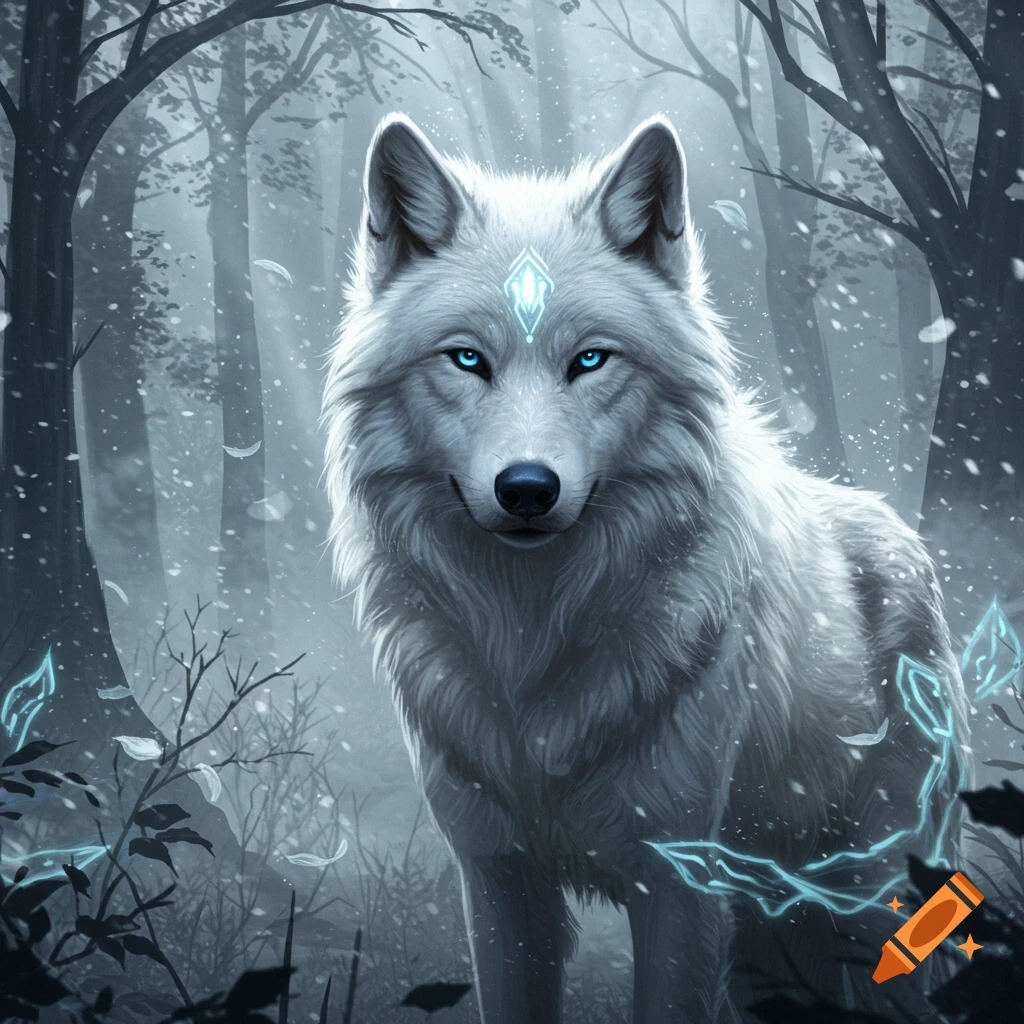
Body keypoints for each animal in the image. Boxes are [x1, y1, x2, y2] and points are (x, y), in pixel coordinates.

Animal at [322, 113, 972, 1023]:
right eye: (466, 360)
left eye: (591, 361)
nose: (528, 488)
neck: (533, 641)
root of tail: (908, 540)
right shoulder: (498, 881)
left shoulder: (679, 882)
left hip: (874, 898)